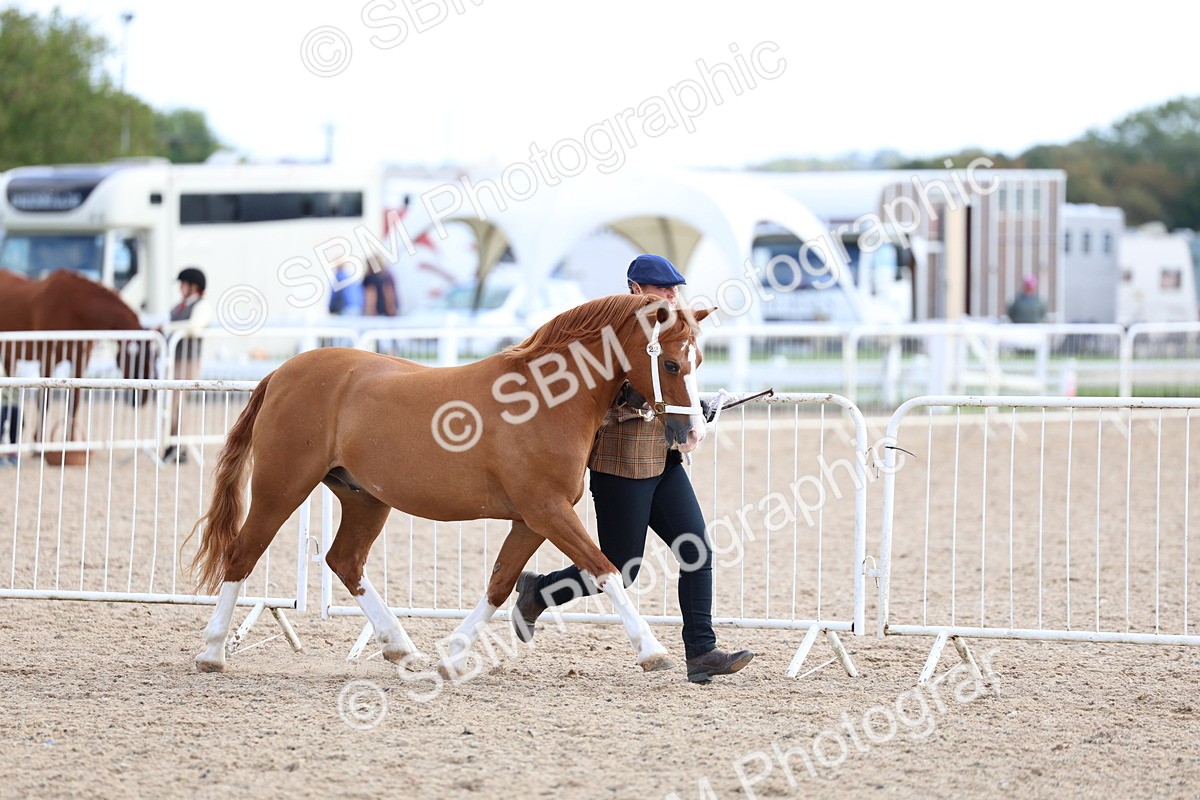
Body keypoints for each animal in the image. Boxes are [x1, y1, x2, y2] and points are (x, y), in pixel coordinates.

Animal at [0, 269, 155, 442]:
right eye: (139, 361)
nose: (142, 399)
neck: (74, 307)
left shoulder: (80, 360)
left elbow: (74, 399)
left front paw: (70, 439)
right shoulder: (47, 358)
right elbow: (44, 400)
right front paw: (38, 440)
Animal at [189, 293, 714, 676]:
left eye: (700, 360)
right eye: (670, 364)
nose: (693, 434)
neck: (543, 400)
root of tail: (281, 373)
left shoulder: (533, 519)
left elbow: (501, 584)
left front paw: (453, 655)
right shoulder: (547, 510)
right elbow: (605, 571)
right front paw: (652, 650)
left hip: (365, 498)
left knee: (345, 561)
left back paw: (402, 648)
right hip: (281, 487)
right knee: (243, 554)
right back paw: (212, 652)